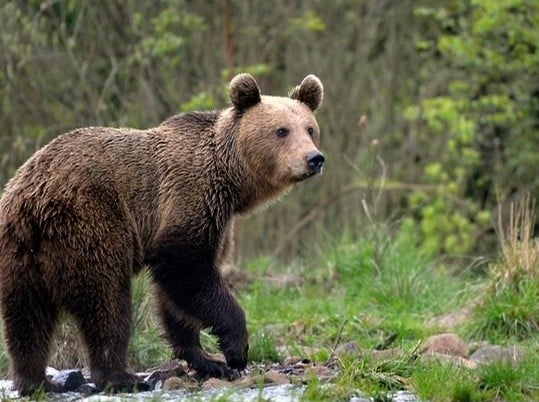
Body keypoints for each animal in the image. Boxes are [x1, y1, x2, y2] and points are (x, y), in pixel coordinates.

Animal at [0, 74, 324, 394]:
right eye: (281, 130)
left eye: (310, 128)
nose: (314, 158)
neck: (230, 181)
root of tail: (33, 199)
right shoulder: (189, 200)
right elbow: (186, 271)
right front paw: (235, 350)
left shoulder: (217, 220)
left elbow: (176, 297)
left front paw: (207, 360)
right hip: (91, 221)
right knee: (107, 301)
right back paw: (122, 377)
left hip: (20, 252)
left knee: (27, 318)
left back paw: (36, 381)